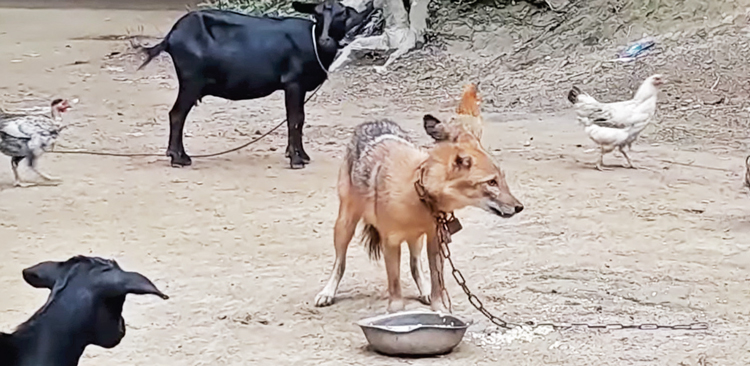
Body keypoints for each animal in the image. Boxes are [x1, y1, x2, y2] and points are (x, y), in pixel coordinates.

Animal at [137, 0, 374, 169]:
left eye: (341, 13)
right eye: (317, 14)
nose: (325, 40)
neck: (313, 41)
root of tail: (171, 37)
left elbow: (300, 119)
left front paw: (302, 155)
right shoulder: (293, 83)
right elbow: (294, 119)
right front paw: (296, 160)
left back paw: (181, 156)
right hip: (191, 81)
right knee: (177, 114)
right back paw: (178, 159)